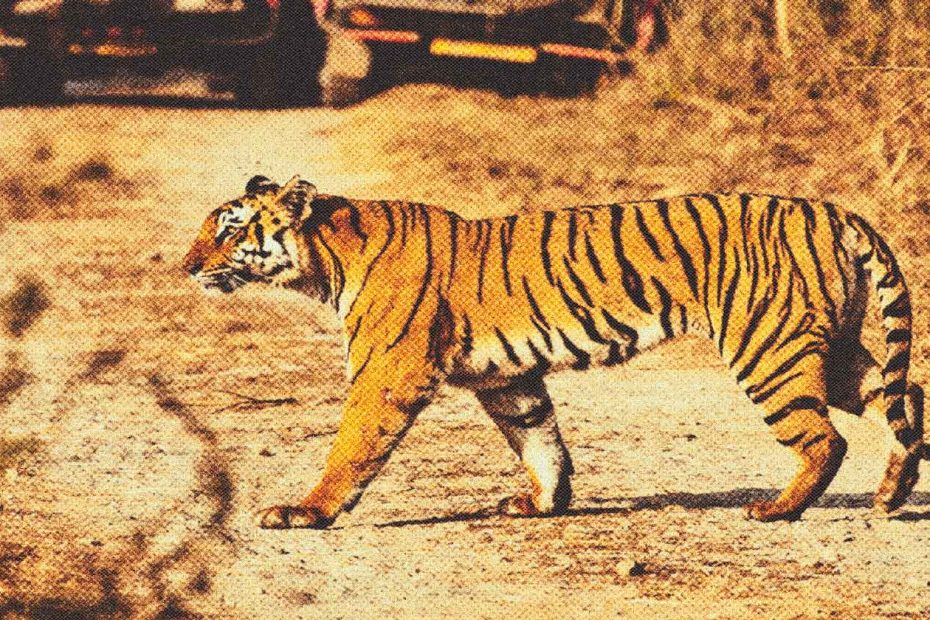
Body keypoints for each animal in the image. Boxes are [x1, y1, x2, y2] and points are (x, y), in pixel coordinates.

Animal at [183, 174, 926, 529]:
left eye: (229, 231)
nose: (187, 266)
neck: (326, 261)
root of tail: (835, 211)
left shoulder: (388, 373)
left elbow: (351, 449)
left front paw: (305, 512)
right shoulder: (507, 377)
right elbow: (540, 439)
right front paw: (542, 503)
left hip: (768, 349)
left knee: (825, 438)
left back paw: (778, 509)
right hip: (827, 349)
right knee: (905, 395)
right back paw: (891, 494)